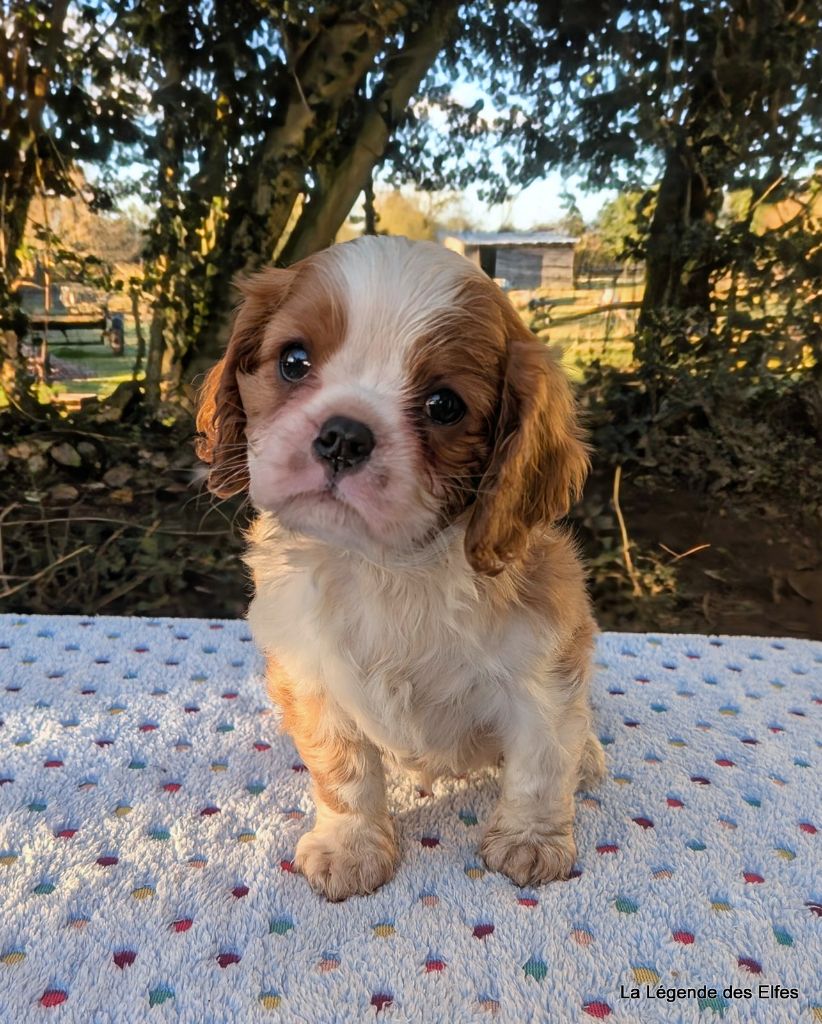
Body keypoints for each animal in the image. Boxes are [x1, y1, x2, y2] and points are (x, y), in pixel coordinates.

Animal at [198, 235, 606, 901]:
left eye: (444, 405)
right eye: (294, 361)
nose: (343, 435)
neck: (386, 567)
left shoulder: (543, 671)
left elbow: (543, 762)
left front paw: (531, 839)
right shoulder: (310, 674)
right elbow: (341, 769)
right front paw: (351, 845)